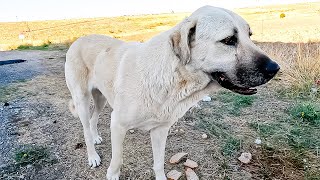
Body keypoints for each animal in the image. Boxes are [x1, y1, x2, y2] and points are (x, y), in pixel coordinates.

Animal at [65, 4, 280, 179]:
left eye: (250, 35)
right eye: (229, 40)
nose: (275, 68)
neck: (173, 79)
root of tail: (78, 39)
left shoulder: (160, 130)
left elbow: (159, 163)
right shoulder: (118, 124)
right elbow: (117, 160)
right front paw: (112, 173)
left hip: (101, 98)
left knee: (93, 119)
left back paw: (96, 137)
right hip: (82, 99)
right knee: (85, 128)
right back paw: (93, 155)